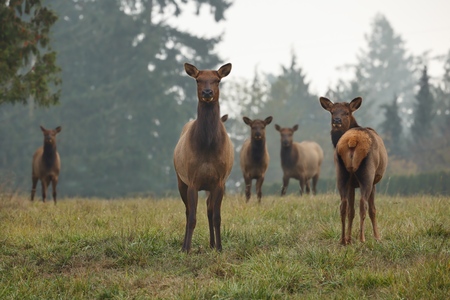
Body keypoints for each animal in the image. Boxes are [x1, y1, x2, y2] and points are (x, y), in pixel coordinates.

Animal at [173, 62, 234, 253]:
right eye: (198, 80)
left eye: (217, 80)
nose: (207, 93)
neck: (207, 146)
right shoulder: (192, 180)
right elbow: (192, 217)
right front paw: (187, 249)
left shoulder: (220, 181)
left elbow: (217, 216)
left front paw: (220, 247)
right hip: (180, 180)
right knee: (187, 212)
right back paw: (184, 245)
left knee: (209, 208)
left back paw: (212, 243)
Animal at [318, 97, 388, 245]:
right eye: (332, 112)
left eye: (346, 112)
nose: (336, 120)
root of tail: (352, 140)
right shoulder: (374, 181)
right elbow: (373, 209)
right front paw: (377, 237)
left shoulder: (351, 184)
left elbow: (351, 211)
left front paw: (350, 238)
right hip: (367, 173)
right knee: (363, 204)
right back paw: (362, 239)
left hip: (341, 174)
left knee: (343, 205)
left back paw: (343, 240)